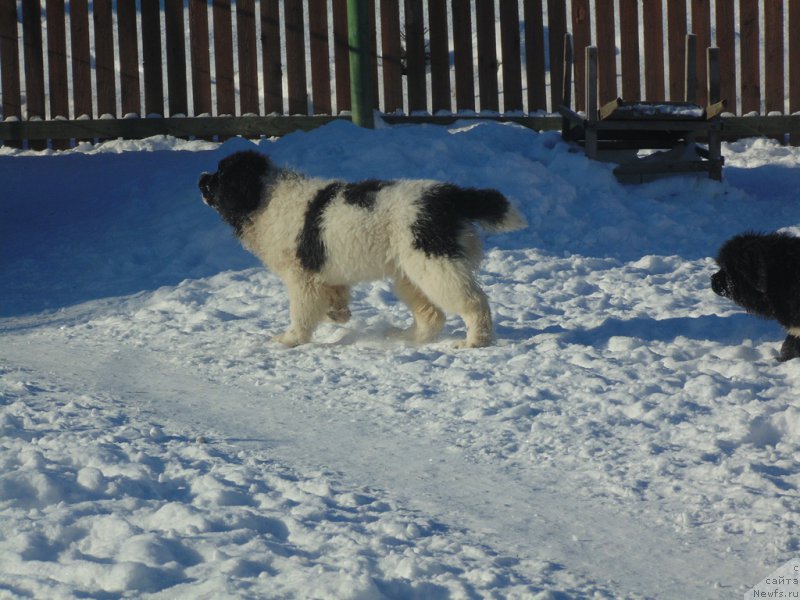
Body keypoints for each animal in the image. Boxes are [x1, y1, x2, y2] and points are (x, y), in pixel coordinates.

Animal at [199, 150, 524, 346]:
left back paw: (476, 340)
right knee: (432, 315)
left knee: (473, 302)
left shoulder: (301, 277)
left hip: (434, 263)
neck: (264, 197)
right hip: (411, 272)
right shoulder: (324, 274)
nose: (201, 178)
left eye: (220, 175)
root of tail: (451, 197)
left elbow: (301, 312)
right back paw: (406, 336)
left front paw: (290, 339)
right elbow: (334, 296)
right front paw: (338, 314)